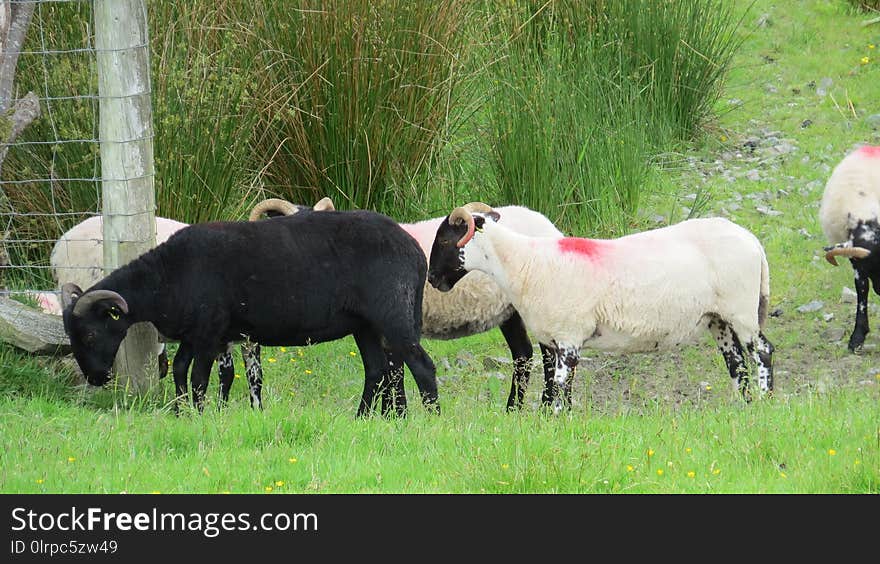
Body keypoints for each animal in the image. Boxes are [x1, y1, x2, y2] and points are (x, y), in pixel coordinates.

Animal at [430, 203, 772, 410]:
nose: (432, 279)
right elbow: (555, 386)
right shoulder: (552, 340)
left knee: (762, 351)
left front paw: (557, 419)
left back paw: (766, 400)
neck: (523, 263)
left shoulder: (569, 337)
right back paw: (743, 406)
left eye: (445, 240)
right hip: (719, 318)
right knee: (736, 362)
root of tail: (753, 241)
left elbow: (560, 386)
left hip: (742, 310)